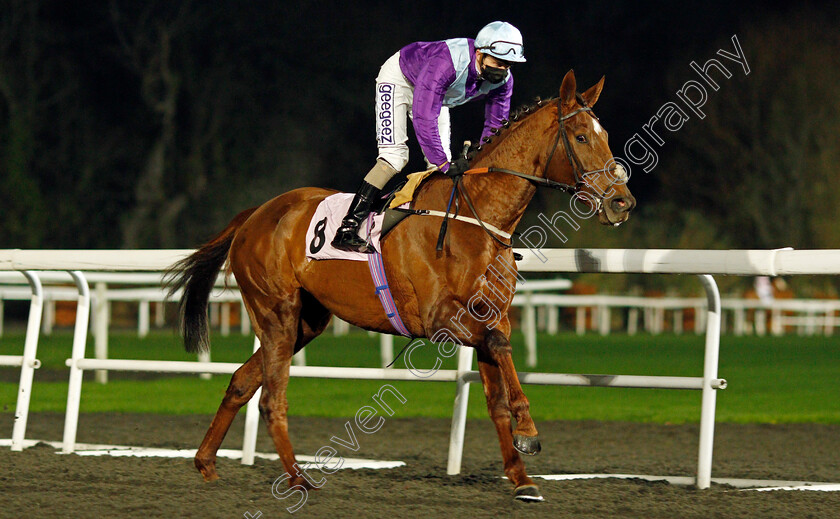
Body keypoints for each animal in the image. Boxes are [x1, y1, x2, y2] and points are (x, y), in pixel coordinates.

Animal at [166, 70, 636, 504]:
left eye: (606, 136)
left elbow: (497, 396)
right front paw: (530, 431)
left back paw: (206, 462)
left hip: (307, 321)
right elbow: (502, 353)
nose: (621, 202)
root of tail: (255, 214)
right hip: (276, 312)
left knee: (243, 381)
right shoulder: (441, 320)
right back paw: (298, 480)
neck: (476, 217)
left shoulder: (490, 317)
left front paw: (522, 479)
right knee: (270, 399)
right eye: (580, 136)